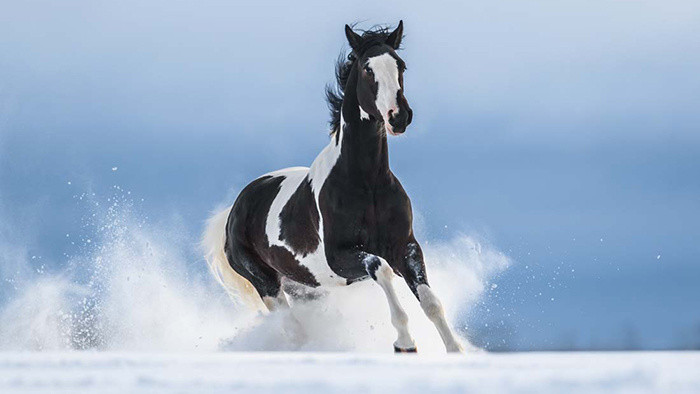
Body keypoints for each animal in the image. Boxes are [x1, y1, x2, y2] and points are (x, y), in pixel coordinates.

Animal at [202, 21, 464, 352]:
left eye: (401, 65)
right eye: (367, 68)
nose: (399, 117)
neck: (366, 183)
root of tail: (233, 210)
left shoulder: (405, 246)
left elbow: (431, 302)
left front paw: (455, 350)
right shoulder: (340, 258)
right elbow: (381, 269)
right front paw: (404, 343)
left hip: (306, 287)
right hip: (267, 284)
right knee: (293, 329)